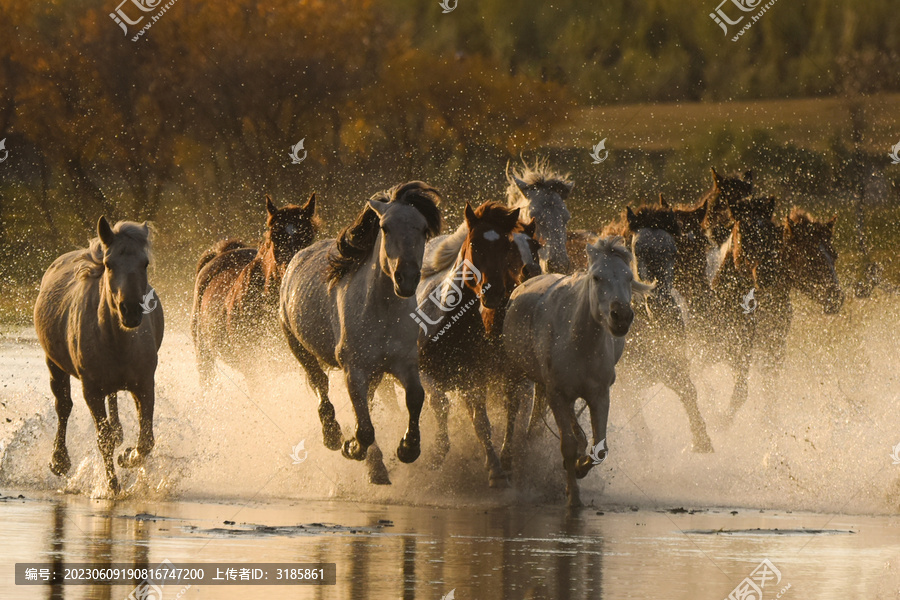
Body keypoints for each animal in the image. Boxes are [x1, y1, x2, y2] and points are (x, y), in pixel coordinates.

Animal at [33, 218, 163, 494]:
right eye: (109, 264)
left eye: (145, 263)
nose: (130, 310)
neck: (117, 341)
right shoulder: (91, 390)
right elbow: (104, 440)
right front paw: (112, 487)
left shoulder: (145, 384)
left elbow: (146, 440)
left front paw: (128, 457)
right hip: (54, 365)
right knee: (63, 406)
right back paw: (59, 461)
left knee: (114, 401)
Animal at [278, 182, 440, 482]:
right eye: (385, 227)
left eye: (424, 229)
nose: (406, 279)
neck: (381, 313)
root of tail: (298, 257)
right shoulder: (354, 369)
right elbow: (364, 428)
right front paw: (351, 447)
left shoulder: (403, 362)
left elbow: (415, 397)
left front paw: (408, 448)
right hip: (296, 344)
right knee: (320, 383)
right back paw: (334, 436)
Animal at [502, 236, 652, 506]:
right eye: (597, 277)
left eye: (628, 277)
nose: (622, 316)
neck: (579, 342)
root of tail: (521, 288)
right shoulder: (557, 394)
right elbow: (568, 445)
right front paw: (573, 496)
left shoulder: (599, 395)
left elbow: (600, 447)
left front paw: (581, 466)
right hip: (514, 371)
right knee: (512, 409)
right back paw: (505, 459)